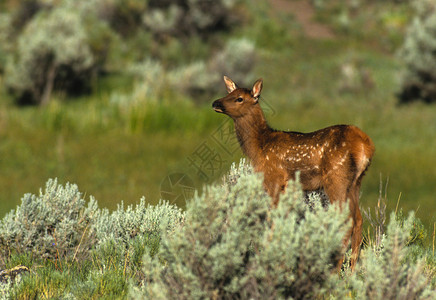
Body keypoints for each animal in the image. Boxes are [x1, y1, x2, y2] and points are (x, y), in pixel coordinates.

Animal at [212, 77, 374, 270]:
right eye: (228, 93)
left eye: (239, 99)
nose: (215, 102)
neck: (259, 147)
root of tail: (365, 145)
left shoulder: (273, 179)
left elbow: (272, 220)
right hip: (356, 182)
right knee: (358, 220)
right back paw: (351, 271)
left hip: (337, 177)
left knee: (346, 221)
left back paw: (335, 269)